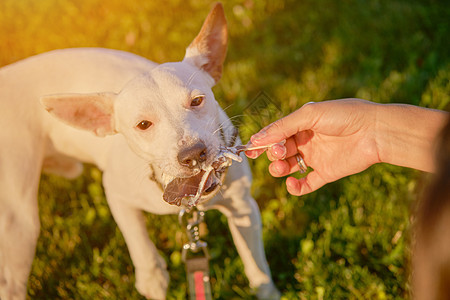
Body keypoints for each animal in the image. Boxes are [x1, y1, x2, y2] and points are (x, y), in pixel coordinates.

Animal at [0, 2, 280, 300]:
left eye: (197, 101)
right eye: (143, 125)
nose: (193, 154)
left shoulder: (243, 208)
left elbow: (256, 266)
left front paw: (268, 291)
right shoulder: (116, 195)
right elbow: (138, 242)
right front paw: (152, 277)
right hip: (20, 223)